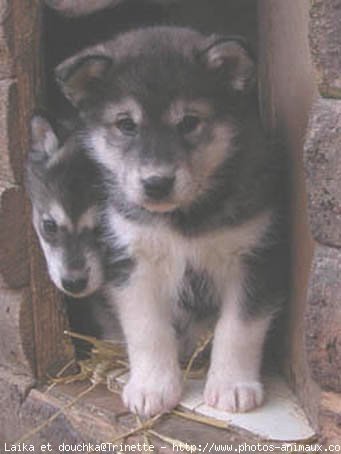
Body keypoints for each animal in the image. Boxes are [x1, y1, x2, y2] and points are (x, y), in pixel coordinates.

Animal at [55, 26, 286, 418]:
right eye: (126, 125)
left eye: (189, 122)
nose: (156, 183)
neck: (183, 219)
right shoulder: (132, 263)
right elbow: (148, 329)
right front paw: (153, 386)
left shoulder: (255, 258)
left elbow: (238, 328)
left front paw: (232, 385)